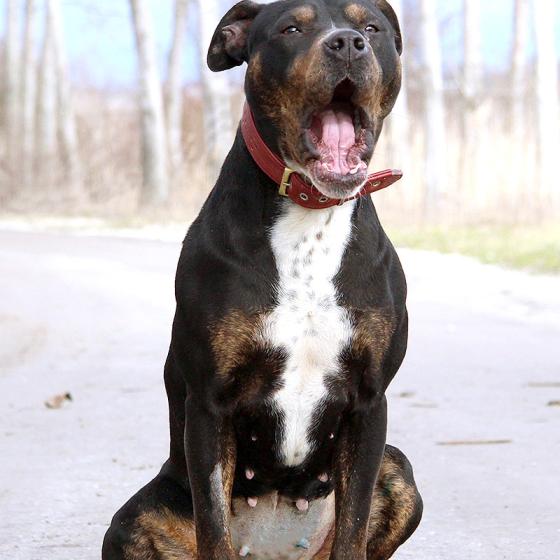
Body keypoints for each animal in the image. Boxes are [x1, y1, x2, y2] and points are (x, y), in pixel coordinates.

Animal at [102, 1, 423, 558]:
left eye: (371, 27)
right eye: (291, 28)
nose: (347, 43)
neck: (310, 215)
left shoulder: (369, 404)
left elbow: (354, 526)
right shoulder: (209, 406)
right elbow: (213, 525)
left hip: (399, 471)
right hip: (134, 518)